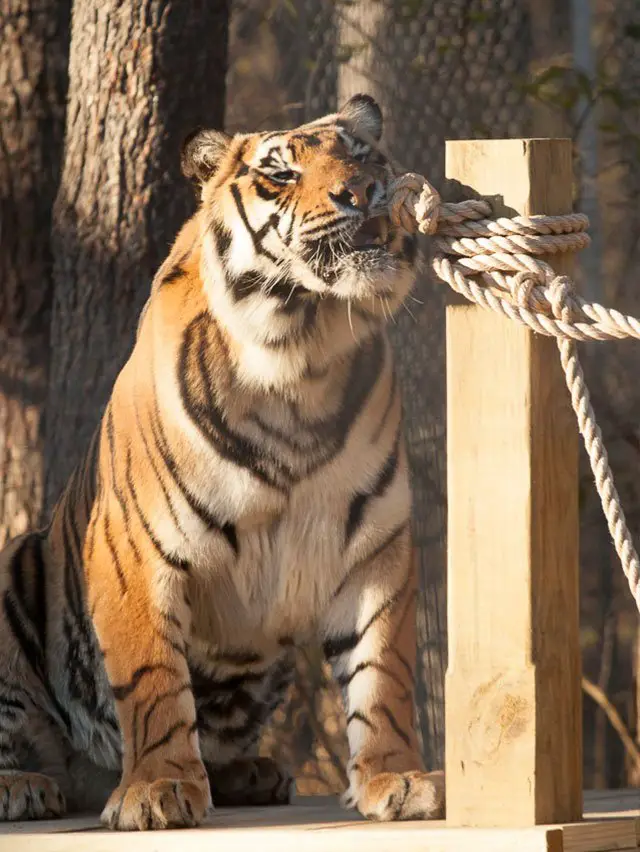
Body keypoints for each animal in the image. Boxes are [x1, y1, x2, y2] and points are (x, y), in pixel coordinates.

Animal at [0, 93, 445, 830]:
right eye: (280, 172)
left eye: (362, 153)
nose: (363, 192)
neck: (302, 357)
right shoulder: (135, 549)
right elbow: (153, 681)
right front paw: (156, 789)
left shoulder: (376, 546)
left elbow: (384, 670)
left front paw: (399, 779)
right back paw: (29, 786)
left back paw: (250, 773)